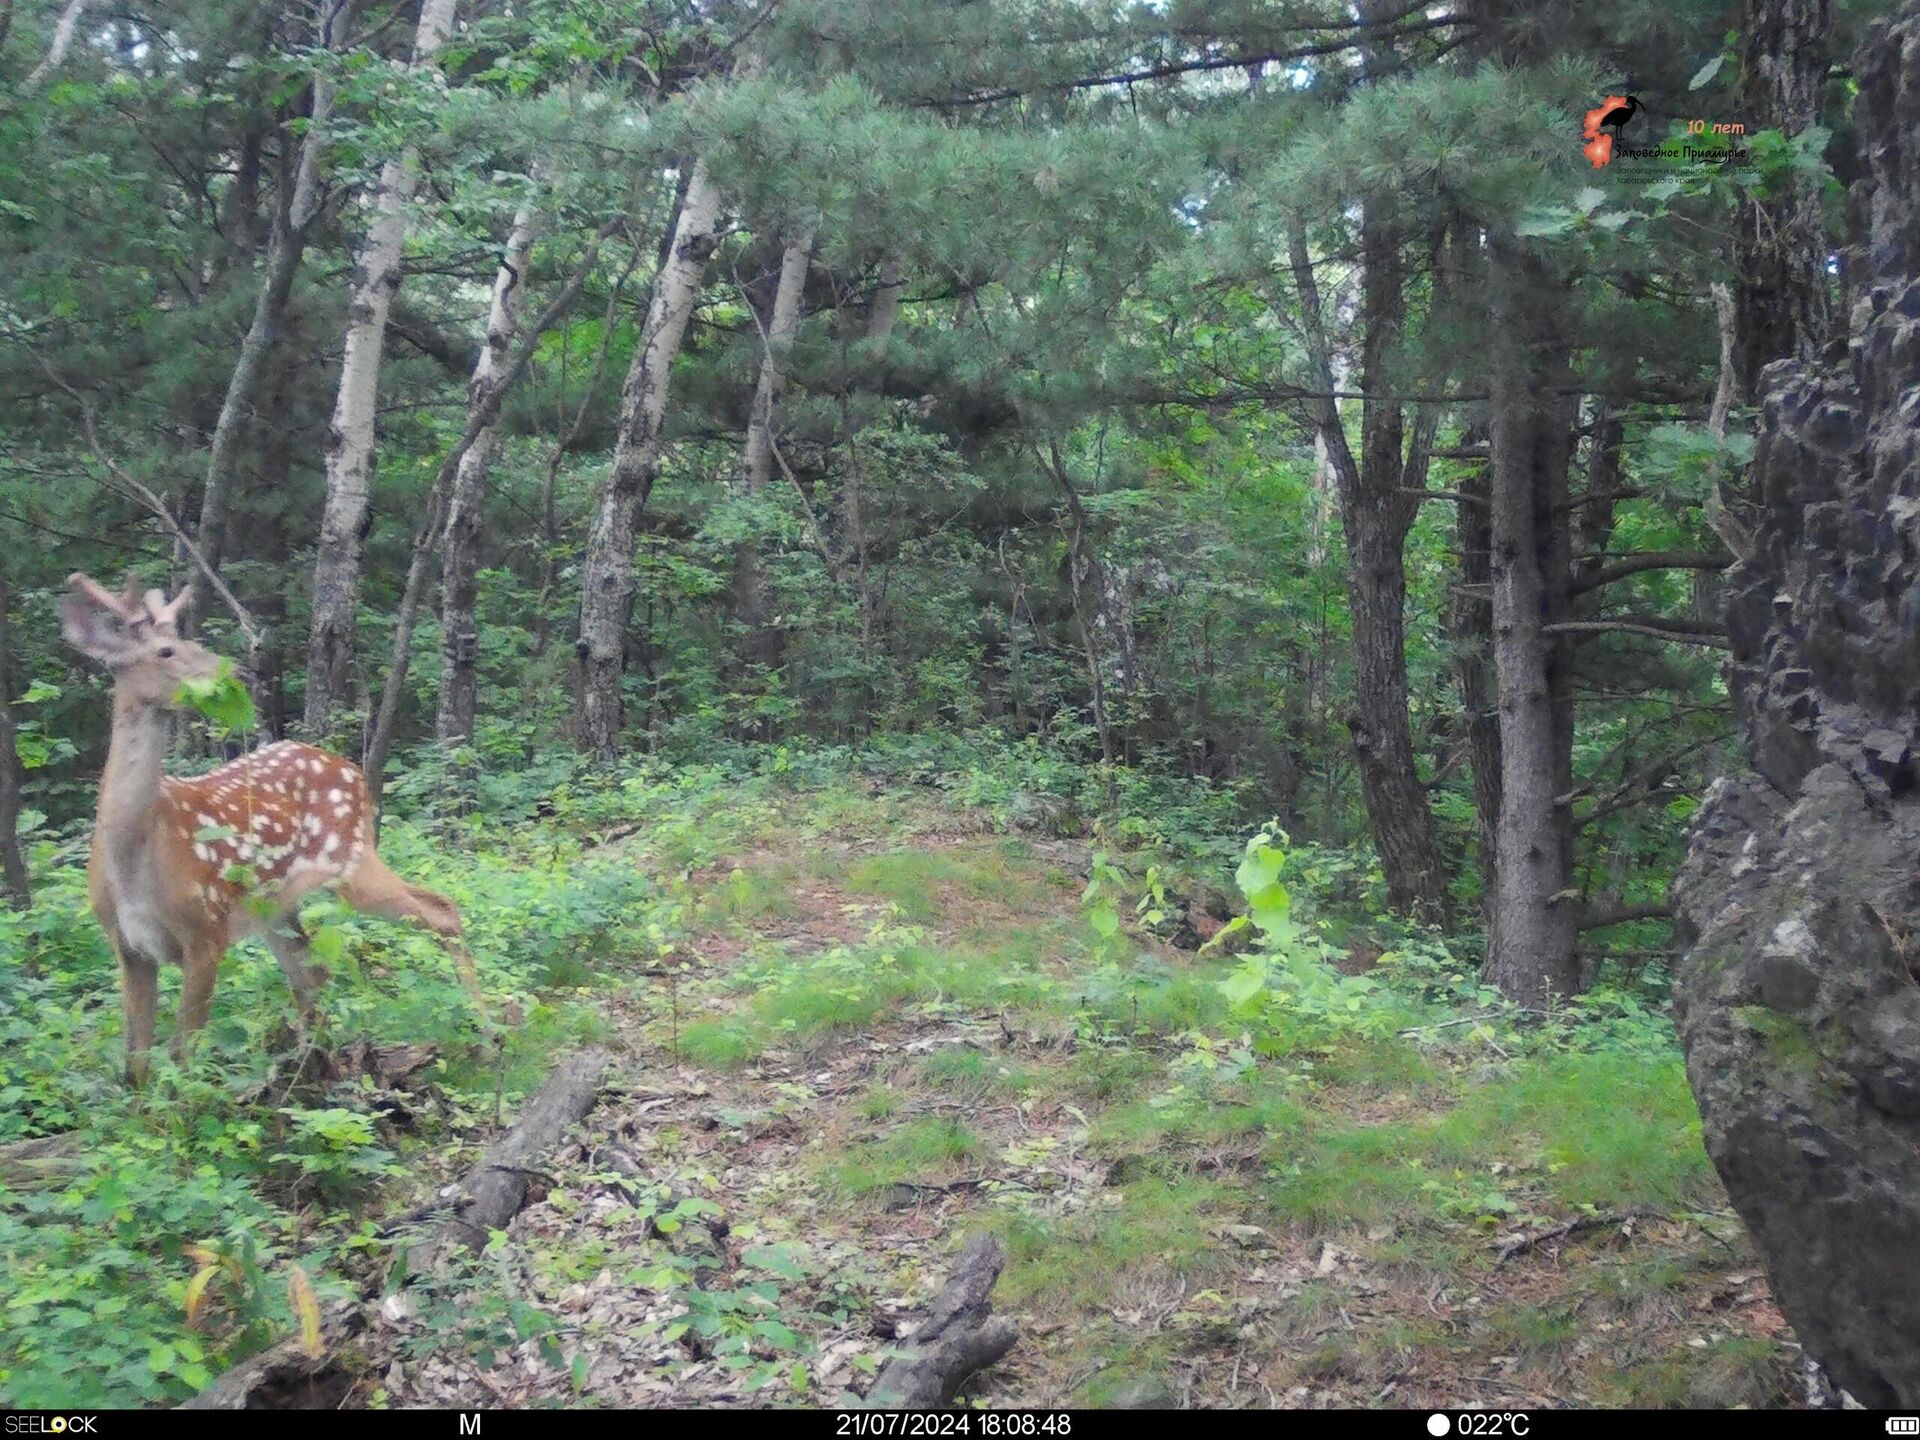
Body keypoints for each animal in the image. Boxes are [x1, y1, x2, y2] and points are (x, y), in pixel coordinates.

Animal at [60, 576, 487, 1082]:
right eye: (166, 650)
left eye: (191, 641)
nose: (237, 675)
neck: (133, 858)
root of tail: (353, 770)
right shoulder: (128, 946)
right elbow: (137, 1064)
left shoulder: (207, 929)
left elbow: (182, 1055)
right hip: (275, 906)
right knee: (311, 971)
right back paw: (315, 1062)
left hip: (350, 860)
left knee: (442, 909)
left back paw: (491, 1030)